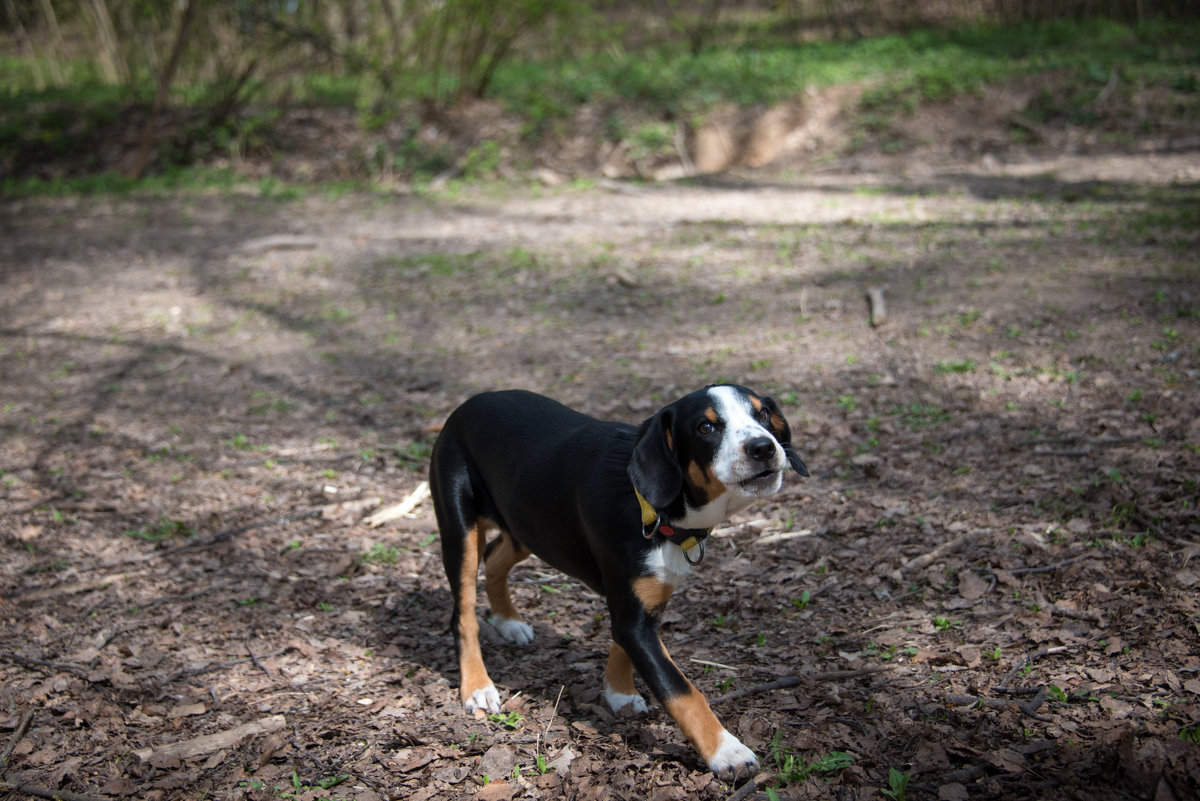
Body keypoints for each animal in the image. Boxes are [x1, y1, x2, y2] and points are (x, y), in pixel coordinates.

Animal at [432, 383, 806, 777]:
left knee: (495, 559)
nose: (763, 447)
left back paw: (508, 621)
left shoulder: (646, 597)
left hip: (526, 525)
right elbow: (680, 690)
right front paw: (726, 751)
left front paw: (619, 693)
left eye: (761, 413)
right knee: (463, 615)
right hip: (461, 531)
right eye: (706, 427)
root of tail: (468, 403)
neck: (650, 505)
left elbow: (622, 647)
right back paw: (477, 685)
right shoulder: (633, 614)